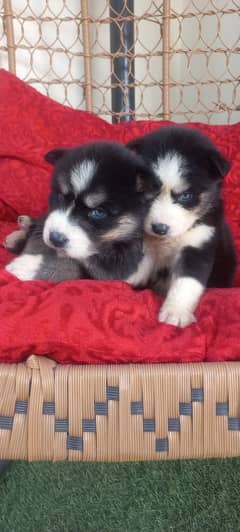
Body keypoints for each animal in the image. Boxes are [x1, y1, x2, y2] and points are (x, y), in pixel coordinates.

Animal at [4, 140, 158, 282]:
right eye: (61, 197)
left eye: (98, 212)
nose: (55, 238)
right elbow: (38, 241)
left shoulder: (116, 269)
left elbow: (74, 266)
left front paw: (28, 267)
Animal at [127, 128, 236, 328]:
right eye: (148, 191)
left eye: (186, 196)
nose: (159, 228)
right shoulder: (145, 242)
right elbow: (139, 263)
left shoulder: (198, 245)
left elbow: (186, 282)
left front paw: (176, 312)